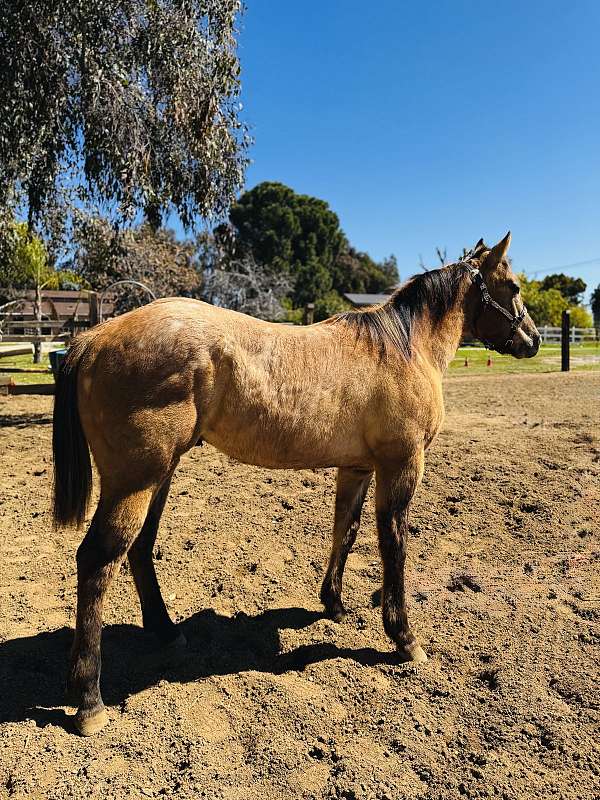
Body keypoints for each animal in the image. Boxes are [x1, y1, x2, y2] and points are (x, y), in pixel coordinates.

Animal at [52, 230, 540, 732]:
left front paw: (334, 605)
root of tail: (94, 338)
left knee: (139, 549)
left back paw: (166, 633)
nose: (534, 339)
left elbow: (345, 532)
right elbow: (394, 547)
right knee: (97, 561)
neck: (405, 348)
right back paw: (89, 701)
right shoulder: (402, 465)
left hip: (159, 476)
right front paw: (404, 639)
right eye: (515, 287)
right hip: (135, 482)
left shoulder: (358, 468)